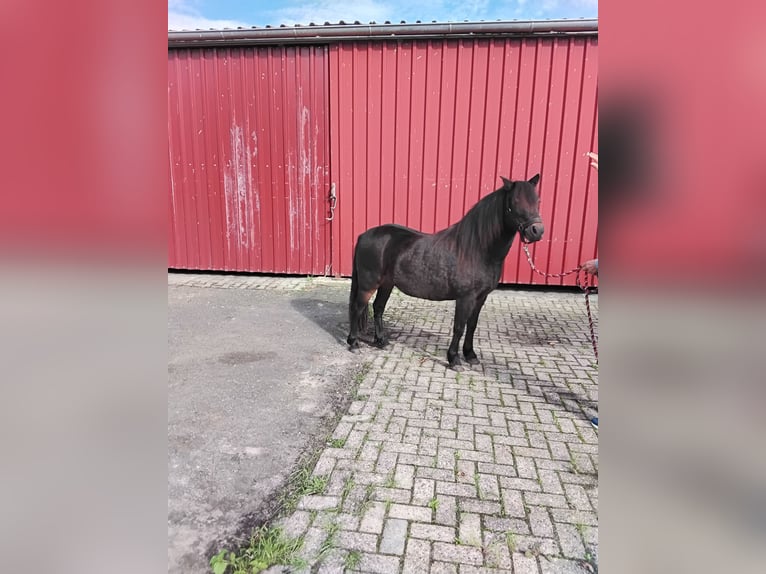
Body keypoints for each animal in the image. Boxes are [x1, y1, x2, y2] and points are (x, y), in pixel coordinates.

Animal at [346, 174, 544, 368]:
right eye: (516, 201)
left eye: (537, 200)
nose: (537, 231)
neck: (476, 249)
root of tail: (363, 235)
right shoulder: (465, 298)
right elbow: (459, 327)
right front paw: (454, 359)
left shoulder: (481, 297)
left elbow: (472, 325)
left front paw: (470, 355)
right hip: (368, 284)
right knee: (358, 308)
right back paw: (353, 343)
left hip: (387, 284)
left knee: (378, 308)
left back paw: (381, 341)